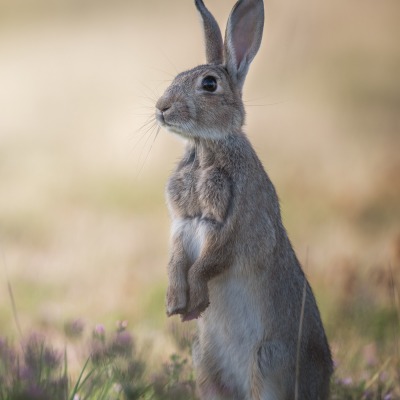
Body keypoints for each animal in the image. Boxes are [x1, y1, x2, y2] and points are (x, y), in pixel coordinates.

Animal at [155, 0, 332, 396]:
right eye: (177, 76)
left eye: (209, 84)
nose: (161, 107)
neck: (206, 147)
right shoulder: (181, 224)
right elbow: (175, 260)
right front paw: (175, 304)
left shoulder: (233, 225)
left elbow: (209, 262)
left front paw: (196, 300)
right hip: (205, 363)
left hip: (269, 362)